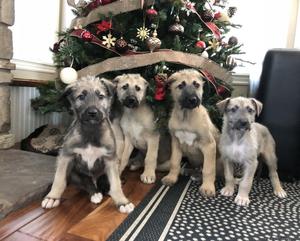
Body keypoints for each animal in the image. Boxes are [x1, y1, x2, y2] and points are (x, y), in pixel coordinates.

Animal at [41, 75, 134, 213]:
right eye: (81, 97)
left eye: (100, 96)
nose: (92, 113)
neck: (91, 131)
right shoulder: (66, 156)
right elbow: (59, 179)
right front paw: (52, 197)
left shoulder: (110, 159)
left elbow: (115, 184)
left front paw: (122, 201)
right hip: (73, 172)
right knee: (87, 182)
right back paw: (95, 193)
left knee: (105, 182)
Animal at [162, 68, 218, 197]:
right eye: (181, 86)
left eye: (196, 84)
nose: (193, 100)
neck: (186, 116)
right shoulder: (175, 143)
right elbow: (174, 163)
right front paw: (171, 177)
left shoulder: (209, 146)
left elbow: (208, 169)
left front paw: (207, 187)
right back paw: (188, 171)